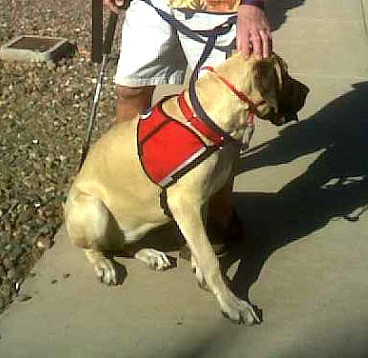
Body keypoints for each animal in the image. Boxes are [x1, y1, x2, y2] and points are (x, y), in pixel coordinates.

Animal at [64, 52, 310, 324]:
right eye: (285, 74)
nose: (307, 91)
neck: (211, 118)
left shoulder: (200, 202)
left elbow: (200, 248)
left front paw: (199, 270)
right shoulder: (186, 204)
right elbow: (210, 258)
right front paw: (232, 303)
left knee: (121, 245)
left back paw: (150, 254)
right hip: (93, 208)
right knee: (93, 247)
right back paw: (104, 264)